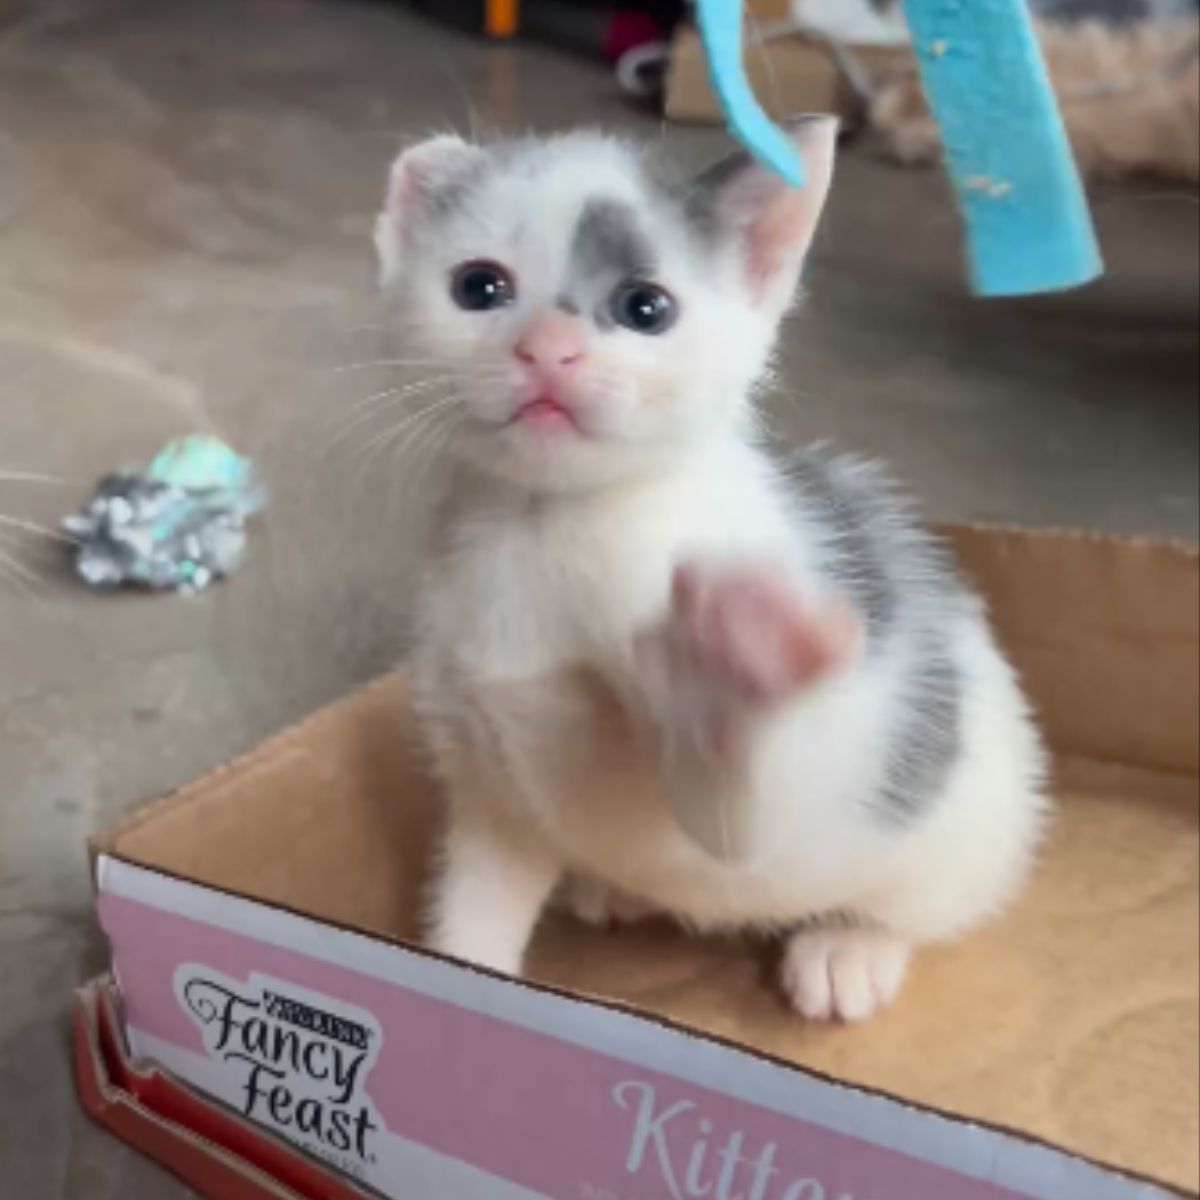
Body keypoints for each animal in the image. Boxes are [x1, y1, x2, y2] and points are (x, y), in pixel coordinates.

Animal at [374, 121, 1041, 1022]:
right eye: (479, 286)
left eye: (645, 307)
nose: (547, 349)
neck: (543, 530)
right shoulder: (488, 790)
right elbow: (474, 917)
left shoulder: (754, 813)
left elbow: (736, 820)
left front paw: (739, 658)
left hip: (966, 823)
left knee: (924, 904)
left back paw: (852, 947)